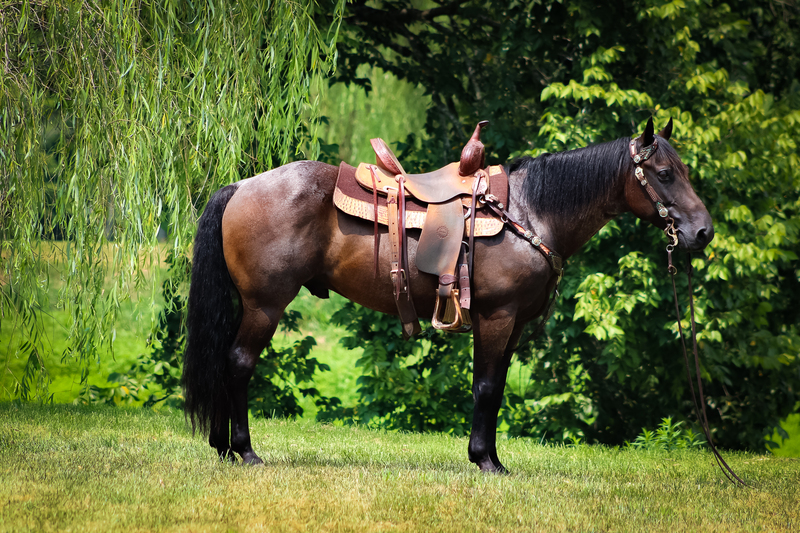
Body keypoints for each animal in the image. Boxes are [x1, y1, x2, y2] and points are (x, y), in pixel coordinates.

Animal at [180, 116, 712, 470]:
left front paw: (490, 457)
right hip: (265, 305)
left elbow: (494, 390)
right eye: (665, 174)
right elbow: (487, 388)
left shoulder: (513, 325)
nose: (703, 232)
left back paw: (222, 447)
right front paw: (486, 462)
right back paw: (245, 451)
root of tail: (241, 186)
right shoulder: (497, 318)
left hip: (247, 305)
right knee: (239, 364)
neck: (530, 211)